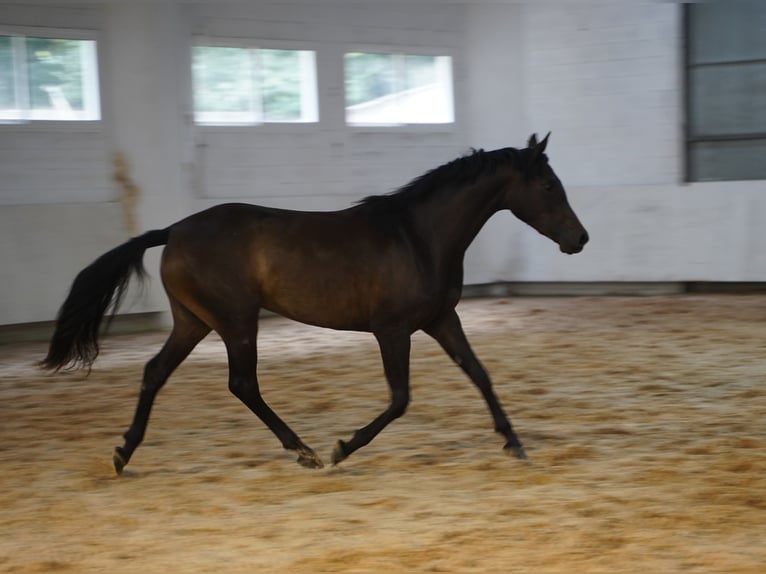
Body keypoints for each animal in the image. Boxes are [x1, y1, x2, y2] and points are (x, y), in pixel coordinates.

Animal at [42, 133, 592, 474]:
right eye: (548, 185)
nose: (580, 239)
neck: (418, 236)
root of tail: (173, 231)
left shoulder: (440, 319)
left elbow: (479, 373)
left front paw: (513, 442)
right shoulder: (392, 329)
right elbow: (400, 398)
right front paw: (342, 448)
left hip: (194, 321)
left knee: (155, 371)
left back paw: (123, 452)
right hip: (236, 321)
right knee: (242, 383)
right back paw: (304, 451)